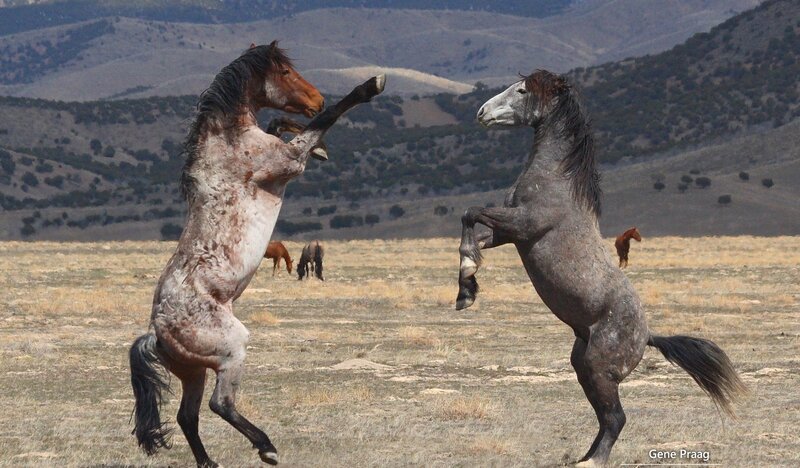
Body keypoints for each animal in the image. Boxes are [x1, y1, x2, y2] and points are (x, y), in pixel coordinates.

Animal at [128, 41, 385, 467]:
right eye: (284, 72)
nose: (316, 98)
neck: (228, 143)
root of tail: (156, 334)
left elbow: (283, 124)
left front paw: (320, 147)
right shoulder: (289, 163)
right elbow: (328, 119)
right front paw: (369, 86)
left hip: (194, 372)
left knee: (187, 416)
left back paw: (210, 462)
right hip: (231, 351)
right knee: (220, 404)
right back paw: (266, 447)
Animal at [456, 69, 746, 467]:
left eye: (523, 90)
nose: (482, 113)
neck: (557, 180)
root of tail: (647, 335)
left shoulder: (524, 226)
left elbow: (470, 211)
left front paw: (468, 280)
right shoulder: (508, 234)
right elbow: (470, 230)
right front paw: (466, 288)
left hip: (598, 369)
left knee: (616, 417)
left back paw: (594, 460)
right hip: (584, 367)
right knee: (605, 417)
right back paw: (583, 456)